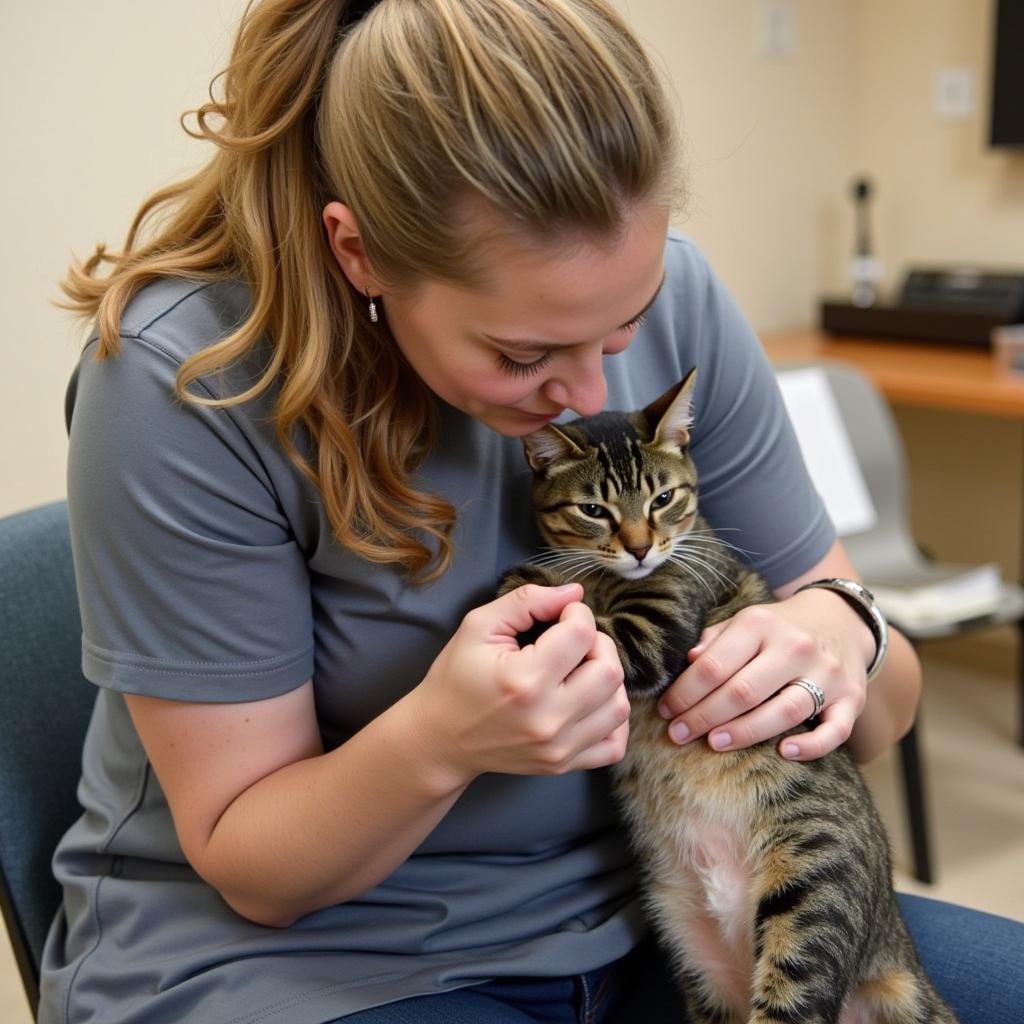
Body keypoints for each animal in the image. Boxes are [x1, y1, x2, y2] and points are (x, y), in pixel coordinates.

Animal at [499, 370, 954, 1024]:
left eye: (662, 498)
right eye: (593, 509)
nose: (640, 547)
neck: (614, 577)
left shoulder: (656, 628)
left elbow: (591, 629)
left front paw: (531, 584)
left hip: (813, 889)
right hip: (689, 943)